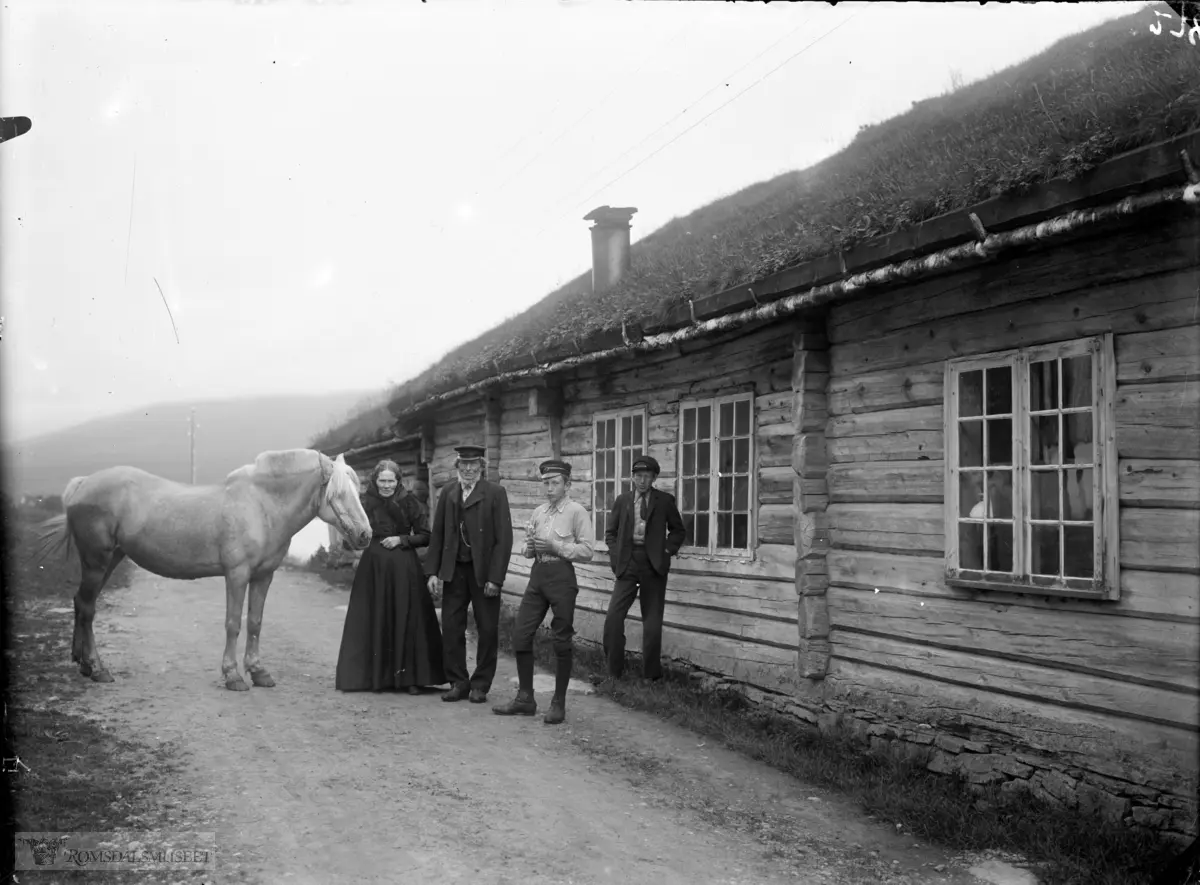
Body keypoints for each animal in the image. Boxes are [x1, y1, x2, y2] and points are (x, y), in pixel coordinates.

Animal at [35, 448, 372, 690]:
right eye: (338, 493)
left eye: (358, 491)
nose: (365, 535)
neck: (260, 505)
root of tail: (82, 485)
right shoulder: (237, 575)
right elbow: (234, 623)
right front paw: (233, 676)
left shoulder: (263, 576)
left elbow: (255, 623)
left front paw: (259, 672)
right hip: (97, 561)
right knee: (88, 608)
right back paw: (97, 668)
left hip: (110, 560)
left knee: (82, 604)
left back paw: (82, 663)